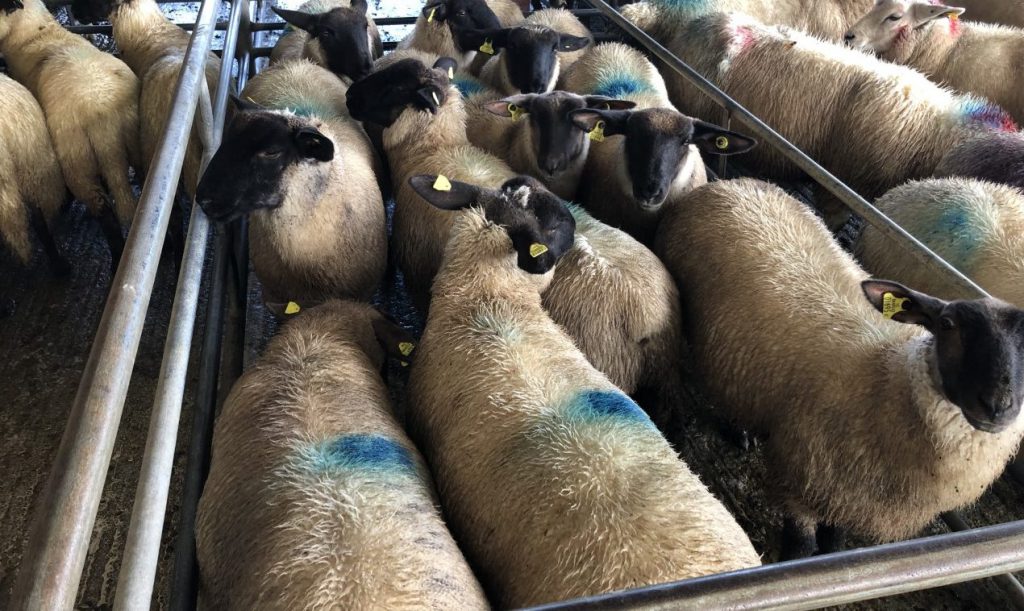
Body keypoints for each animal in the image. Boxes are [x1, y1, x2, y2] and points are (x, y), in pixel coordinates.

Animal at [348, 55, 690, 418]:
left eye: (395, 87)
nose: (350, 96)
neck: (434, 150)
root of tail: (650, 317)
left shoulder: (417, 277)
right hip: (665, 382)